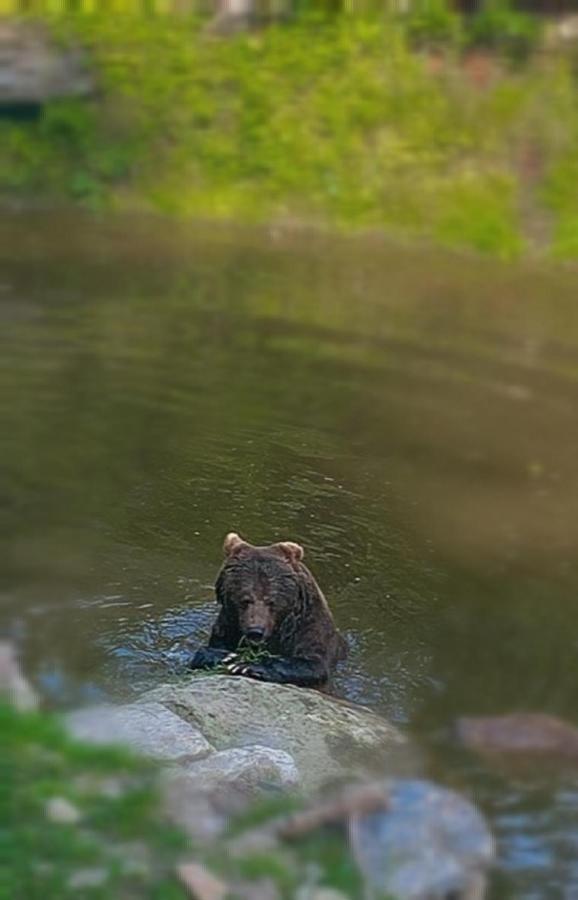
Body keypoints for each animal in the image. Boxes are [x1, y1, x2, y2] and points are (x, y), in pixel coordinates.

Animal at [189, 532, 344, 684]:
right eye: (245, 600)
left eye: (271, 601)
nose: (255, 631)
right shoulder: (227, 625)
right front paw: (223, 656)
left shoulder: (309, 626)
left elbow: (313, 664)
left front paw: (248, 666)